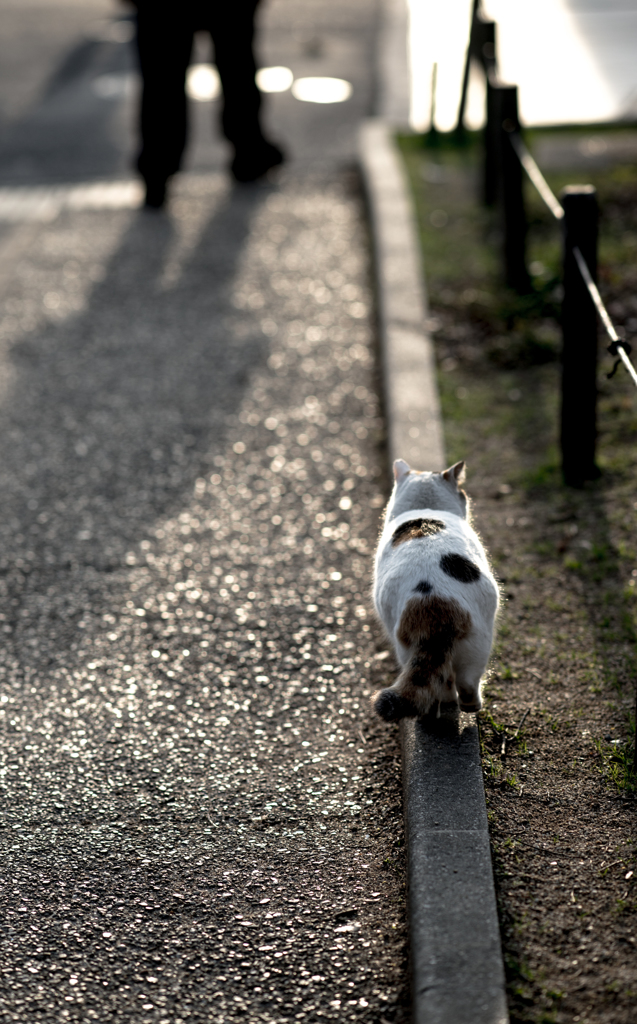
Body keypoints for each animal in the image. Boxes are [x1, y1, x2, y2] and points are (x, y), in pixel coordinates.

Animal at [372, 456, 501, 720]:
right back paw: (469, 706)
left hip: (408, 648)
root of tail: (433, 602)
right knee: (464, 683)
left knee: (441, 682)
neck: (425, 508)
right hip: (479, 645)